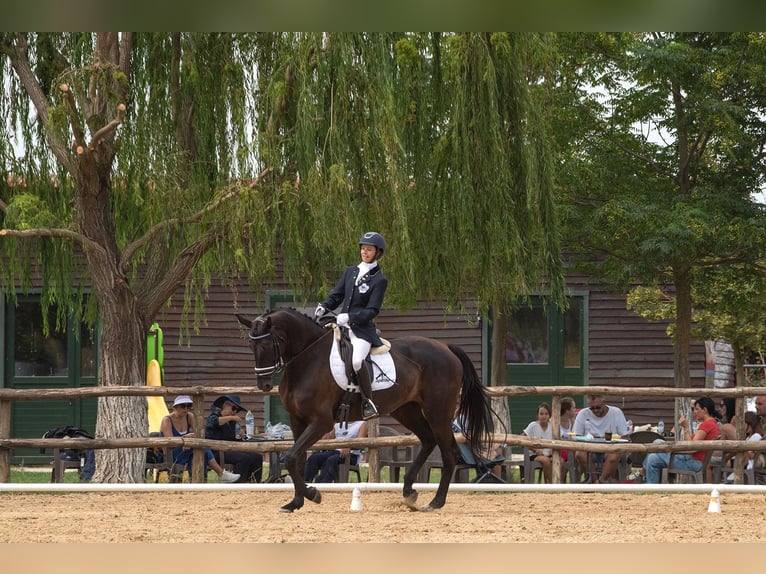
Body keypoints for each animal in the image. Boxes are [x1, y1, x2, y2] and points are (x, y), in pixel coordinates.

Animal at [237, 310, 496, 512]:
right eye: (250, 345)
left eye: (268, 343)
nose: (264, 385)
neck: (307, 360)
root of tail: (446, 347)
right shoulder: (297, 420)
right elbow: (296, 460)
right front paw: (296, 502)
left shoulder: (321, 422)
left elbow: (291, 457)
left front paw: (313, 494)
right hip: (406, 410)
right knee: (428, 440)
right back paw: (409, 491)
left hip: (438, 412)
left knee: (449, 453)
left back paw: (435, 501)